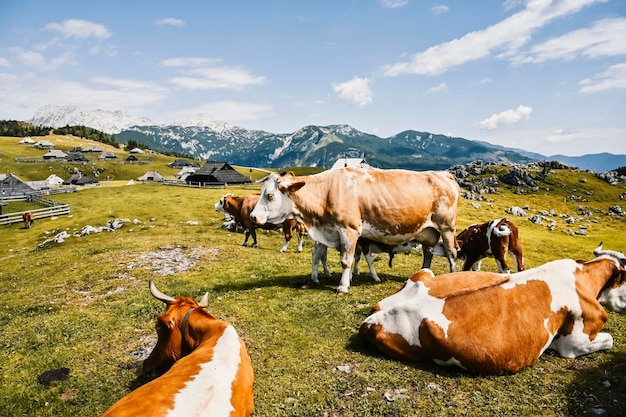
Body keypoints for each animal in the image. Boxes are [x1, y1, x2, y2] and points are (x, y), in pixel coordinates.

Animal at [249, 167, 458, 294]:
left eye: (270, 195)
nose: (252, 216)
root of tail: (444, 174)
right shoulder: (332, 232)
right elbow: (329, 257)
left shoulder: (349, 230)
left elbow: (346, 260)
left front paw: (343, 286)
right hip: (427, 232)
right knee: (428, 253)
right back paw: (424, 273)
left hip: (447, 227)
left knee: (451, 253)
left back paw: (453, 276)